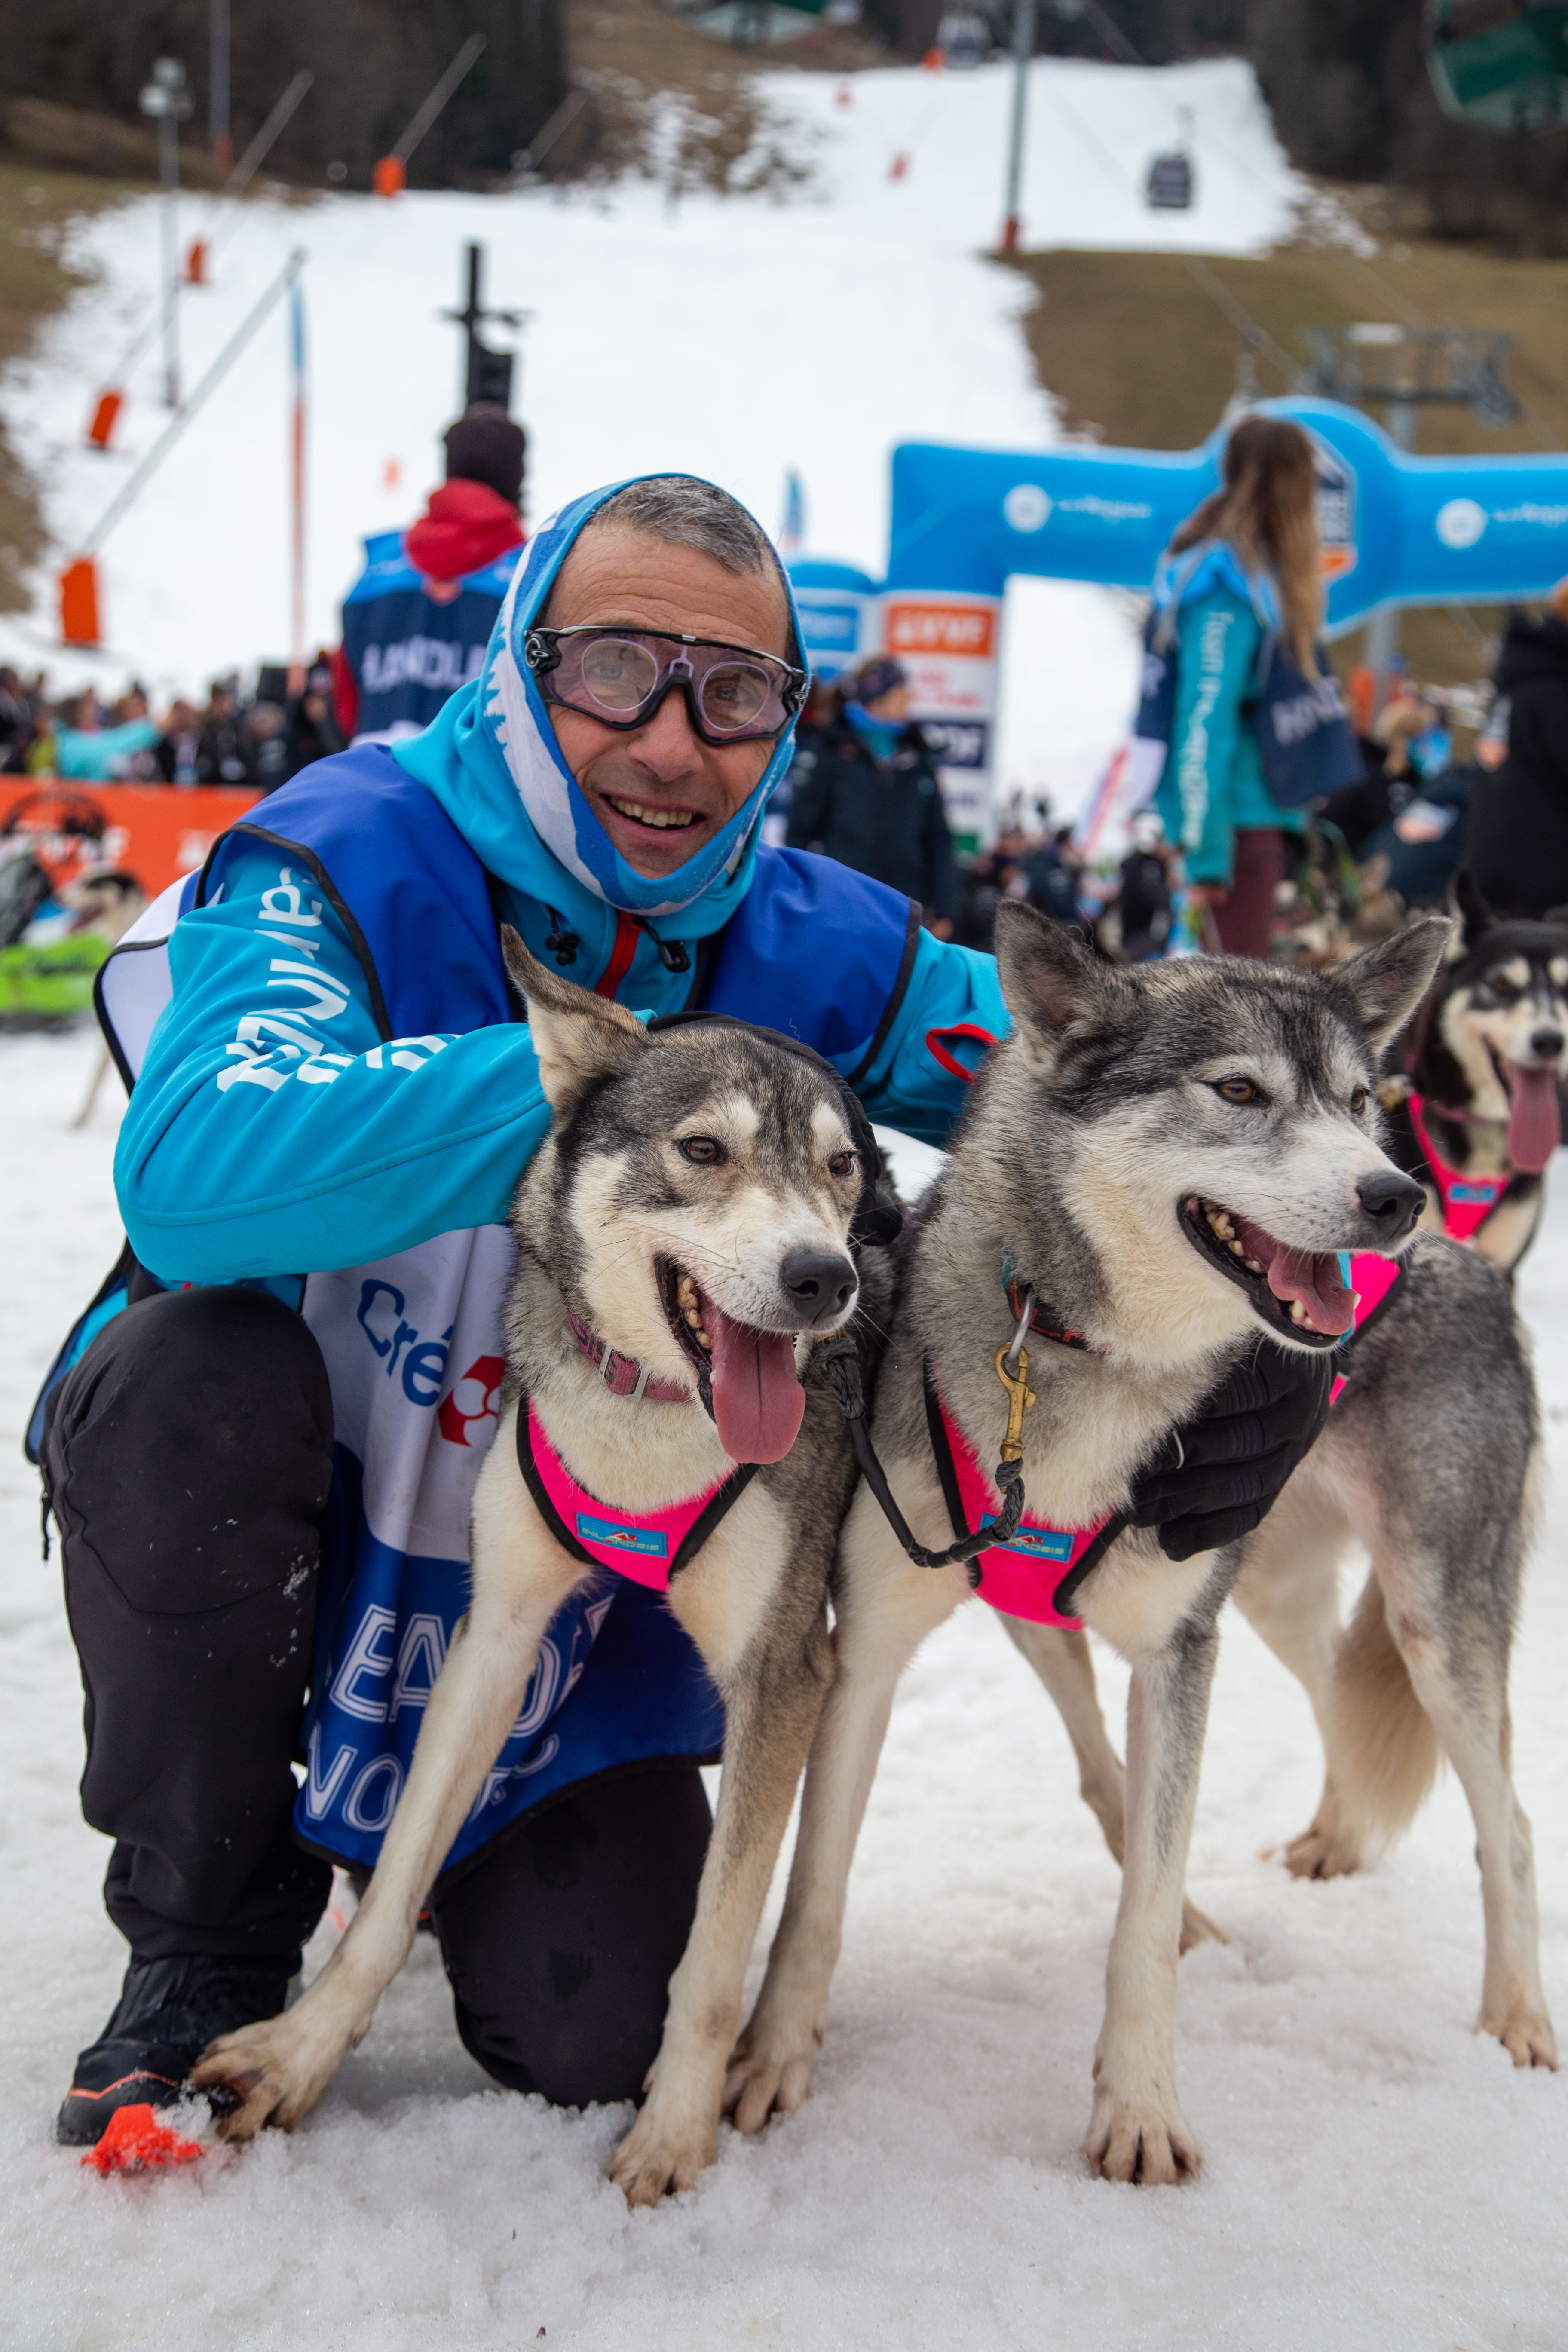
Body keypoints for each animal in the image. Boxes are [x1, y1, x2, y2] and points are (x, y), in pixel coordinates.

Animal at [193, 931, 893, 2201]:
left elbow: (712, 1952)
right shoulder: (497, 1633)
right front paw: (299, 2053)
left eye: (840, 1168)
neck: (648, 1423)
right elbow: (399, 1874)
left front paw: (672, 2132)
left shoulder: (781, 1673)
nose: (827, 1276)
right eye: (703, 1149)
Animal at [729, 903, 1561, 2183]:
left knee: (1506, 1821)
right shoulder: (867, 1647)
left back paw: (1515, 2014)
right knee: (1333, 1700)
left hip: (1427, 1618)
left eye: (1359, 1097)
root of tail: (1475, 1267)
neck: (1088, 1351)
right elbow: (815, 1884)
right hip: (1263, 1599)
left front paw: (1138, 2110)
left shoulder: (1176, 1656)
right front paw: (773, 2058)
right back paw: (1331, 1841)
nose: (1395, 1196)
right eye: (1238, 1089)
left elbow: (1144, 1915)